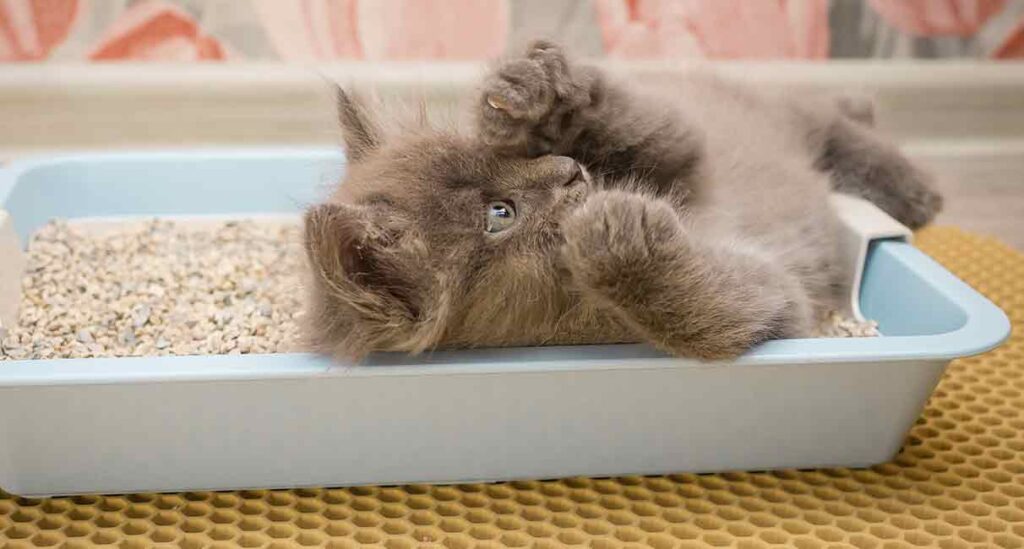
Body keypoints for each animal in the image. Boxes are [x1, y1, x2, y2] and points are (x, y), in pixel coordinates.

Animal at [303, 41, 942, 360]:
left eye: (499, 158)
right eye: (500, 215)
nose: (568, 171)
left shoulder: (686, 159)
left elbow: (660, 133)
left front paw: (540, 101)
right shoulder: (772, 296)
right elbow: (704, 319)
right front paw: (618, 237)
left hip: (777, 112)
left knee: (839, 120)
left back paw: (917, 193)